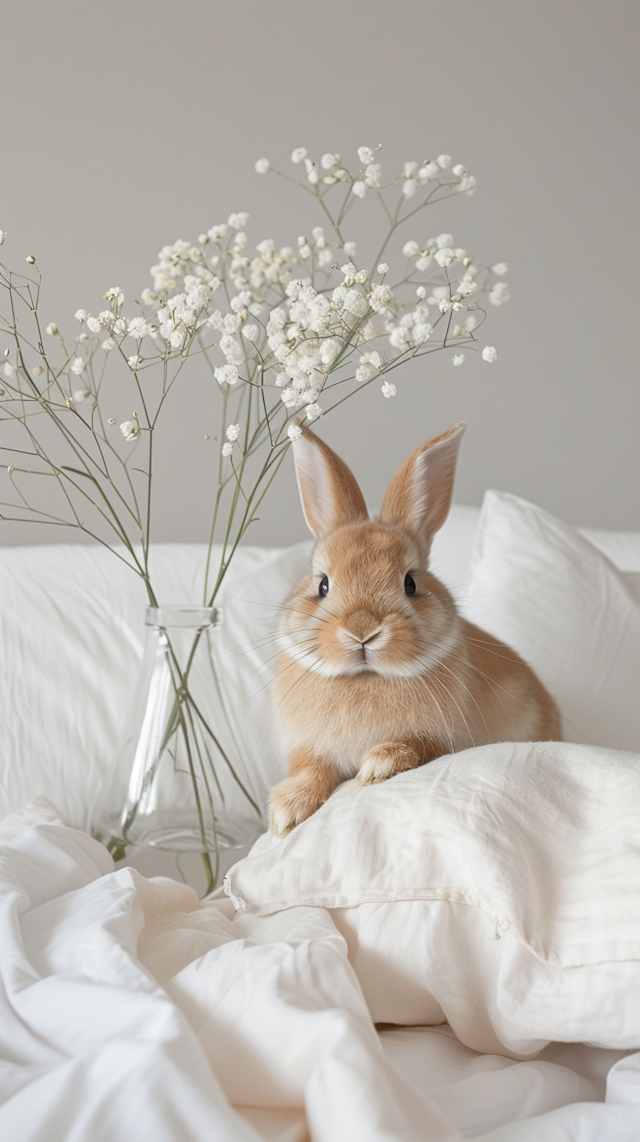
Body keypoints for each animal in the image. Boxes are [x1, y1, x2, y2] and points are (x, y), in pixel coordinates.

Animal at [268, 424, 560, 835]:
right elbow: (309, 770)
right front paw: (287, 812)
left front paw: (377, 766)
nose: (362, 630)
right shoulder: (308, 749)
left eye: (410, 583)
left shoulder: (442, 739)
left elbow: (416, 746)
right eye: (323, 585)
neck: (366, 678)